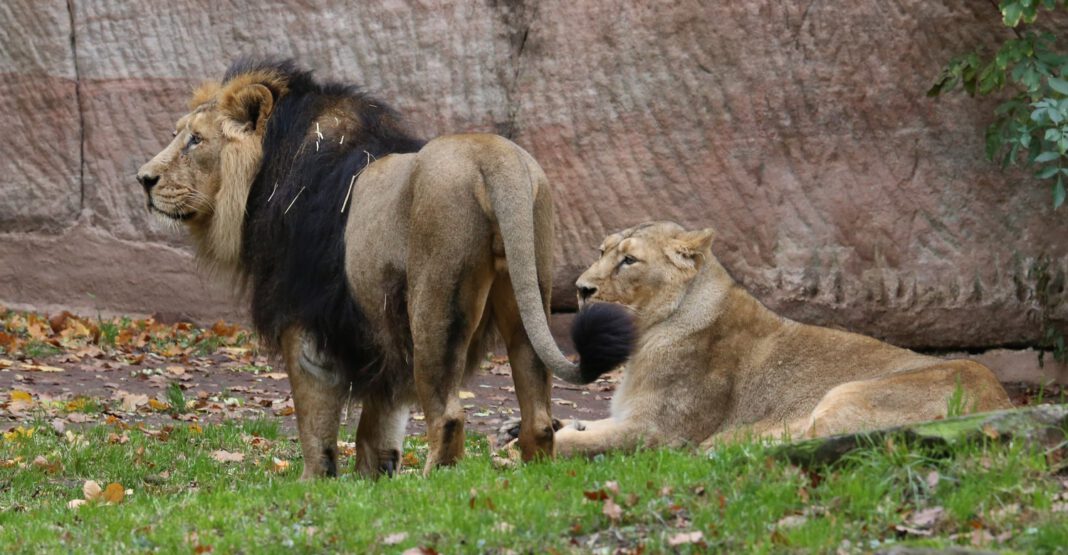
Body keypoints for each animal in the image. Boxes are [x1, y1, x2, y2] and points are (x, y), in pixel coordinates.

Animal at [136, 58, 632, 479]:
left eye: (195, 140)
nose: (143, 179)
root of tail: (496, 157)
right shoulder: (380, 328)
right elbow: (381, 421)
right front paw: (374, 482)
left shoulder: (306, 319)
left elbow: (315, 420)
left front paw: (315, 482)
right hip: (526, 287)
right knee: (539, 414)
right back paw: (532, 475)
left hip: (434, 304)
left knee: (449, 415)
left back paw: (432, 484)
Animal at [525, 221, 1013, 456]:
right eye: (602, 251)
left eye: (629, 260)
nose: (582, 289)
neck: (648, 333)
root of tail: (1000, 406)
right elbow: (588, 426)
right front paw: (550, 425)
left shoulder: (658, 431)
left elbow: (584, 442)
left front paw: (534, 446)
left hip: (852, 392)